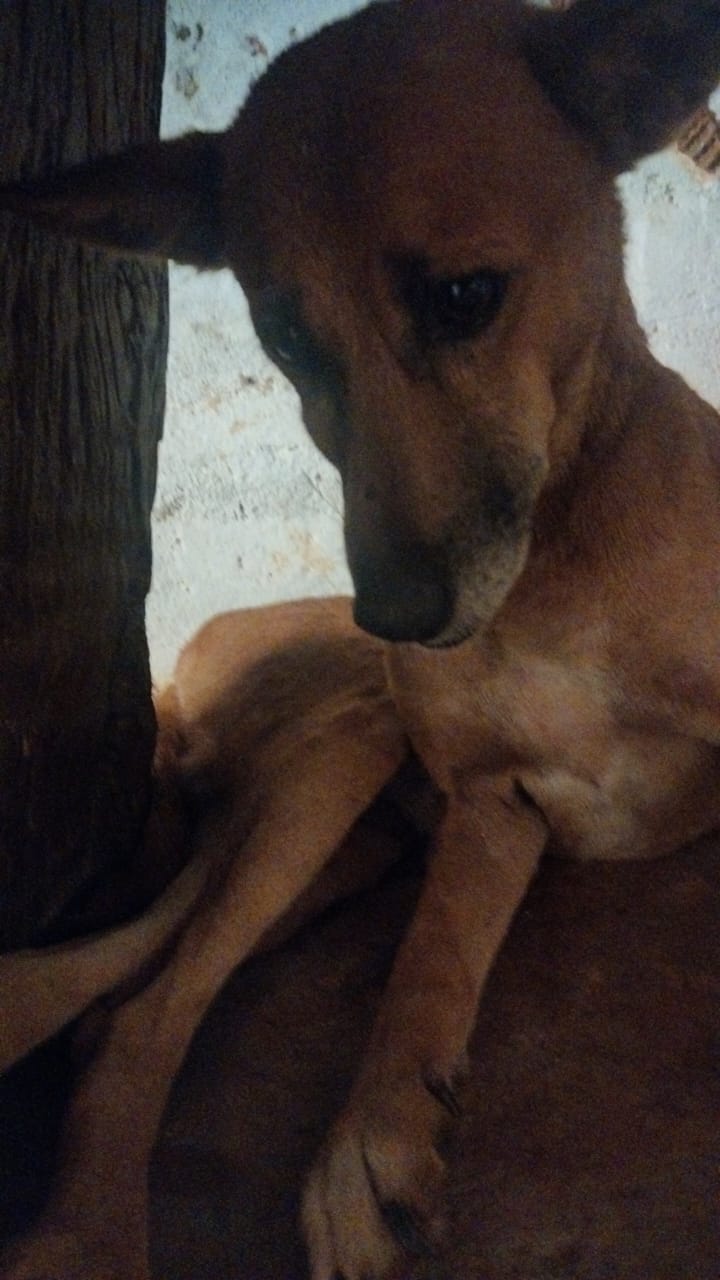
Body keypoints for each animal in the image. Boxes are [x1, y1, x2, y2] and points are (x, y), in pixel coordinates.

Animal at [1, 0, 717, 1274]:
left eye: (466, 297)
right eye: (285, 339)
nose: (394, 620)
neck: (553, 571)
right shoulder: (491, 802)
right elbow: (425, 960)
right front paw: (371, 1133)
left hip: (355, 827)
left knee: (124, 980)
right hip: (345, 748)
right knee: (143, 999)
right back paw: (83, 1228)